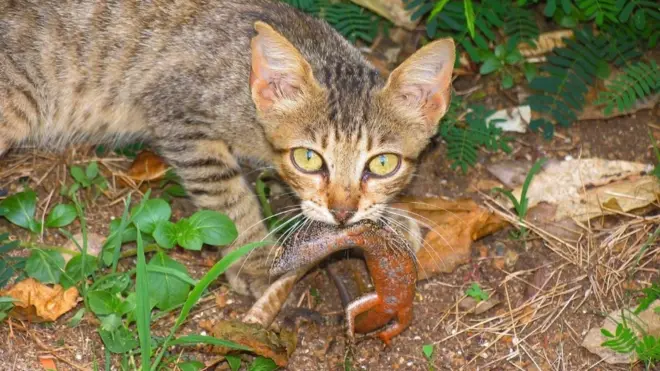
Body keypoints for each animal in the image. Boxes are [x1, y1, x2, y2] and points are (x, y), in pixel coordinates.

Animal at [0, 0, 454, 300]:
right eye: (308, 157)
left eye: (383, 163)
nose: (343, 214)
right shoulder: (177, 115)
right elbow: (228, 197)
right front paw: (254, 258)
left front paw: (390, 220)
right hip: (16, 102)